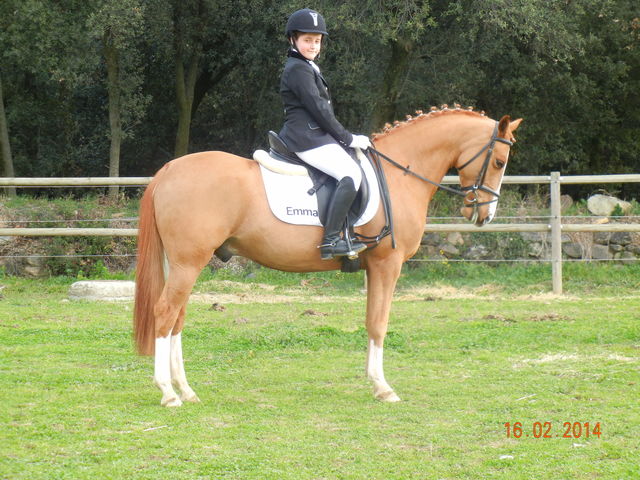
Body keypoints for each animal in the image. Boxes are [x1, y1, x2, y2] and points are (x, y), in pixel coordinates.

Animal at [133, 107, 522, 407]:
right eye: (499, 161)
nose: (484, 216)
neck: (399, 174)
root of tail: (169, 169)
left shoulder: (373, 267)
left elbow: (370, 320)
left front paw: (374, 382)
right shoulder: (388, 264)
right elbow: (379, 323)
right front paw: (385, 388)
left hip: (181, 264)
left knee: (177, 318)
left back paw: (187, 390)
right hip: (188, 264)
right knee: (165, 312)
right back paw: (168, 393)